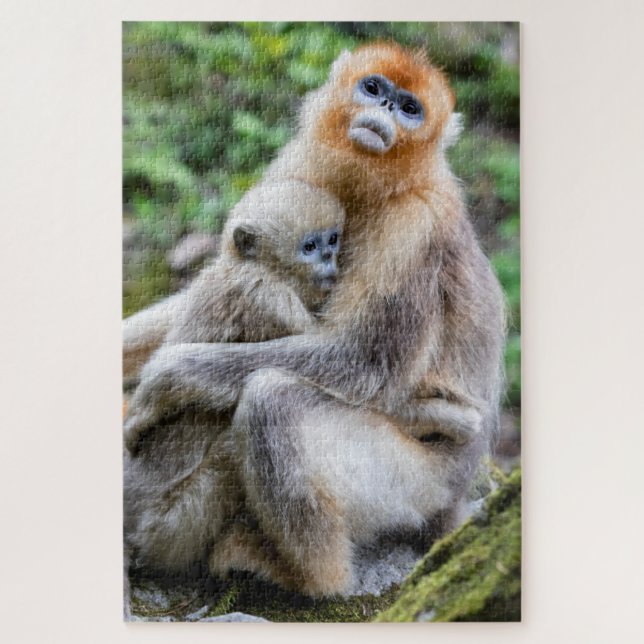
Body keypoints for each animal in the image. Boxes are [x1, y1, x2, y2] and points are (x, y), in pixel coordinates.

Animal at [124, 42, 505, 598]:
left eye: (410, 108)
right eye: (374, 88)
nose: (385, 109)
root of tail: (454, 497)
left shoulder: (414, 226)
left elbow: (364, 363)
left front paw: (163, 380)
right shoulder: (301, 163)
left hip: (416, 484)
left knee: (272, 399)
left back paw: (312, 579)